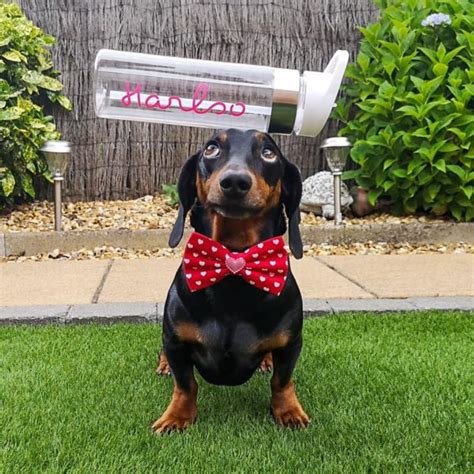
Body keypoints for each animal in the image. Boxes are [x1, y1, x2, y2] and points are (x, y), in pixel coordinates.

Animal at [150, 128, 310, 432]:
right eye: (211, 149)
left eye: (268, 153)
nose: (235, 182)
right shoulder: (175, 341)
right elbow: (185, 384)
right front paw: (177, 416)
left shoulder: (291, 344)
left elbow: (282, 381)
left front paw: (288, 411)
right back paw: (163, 366)